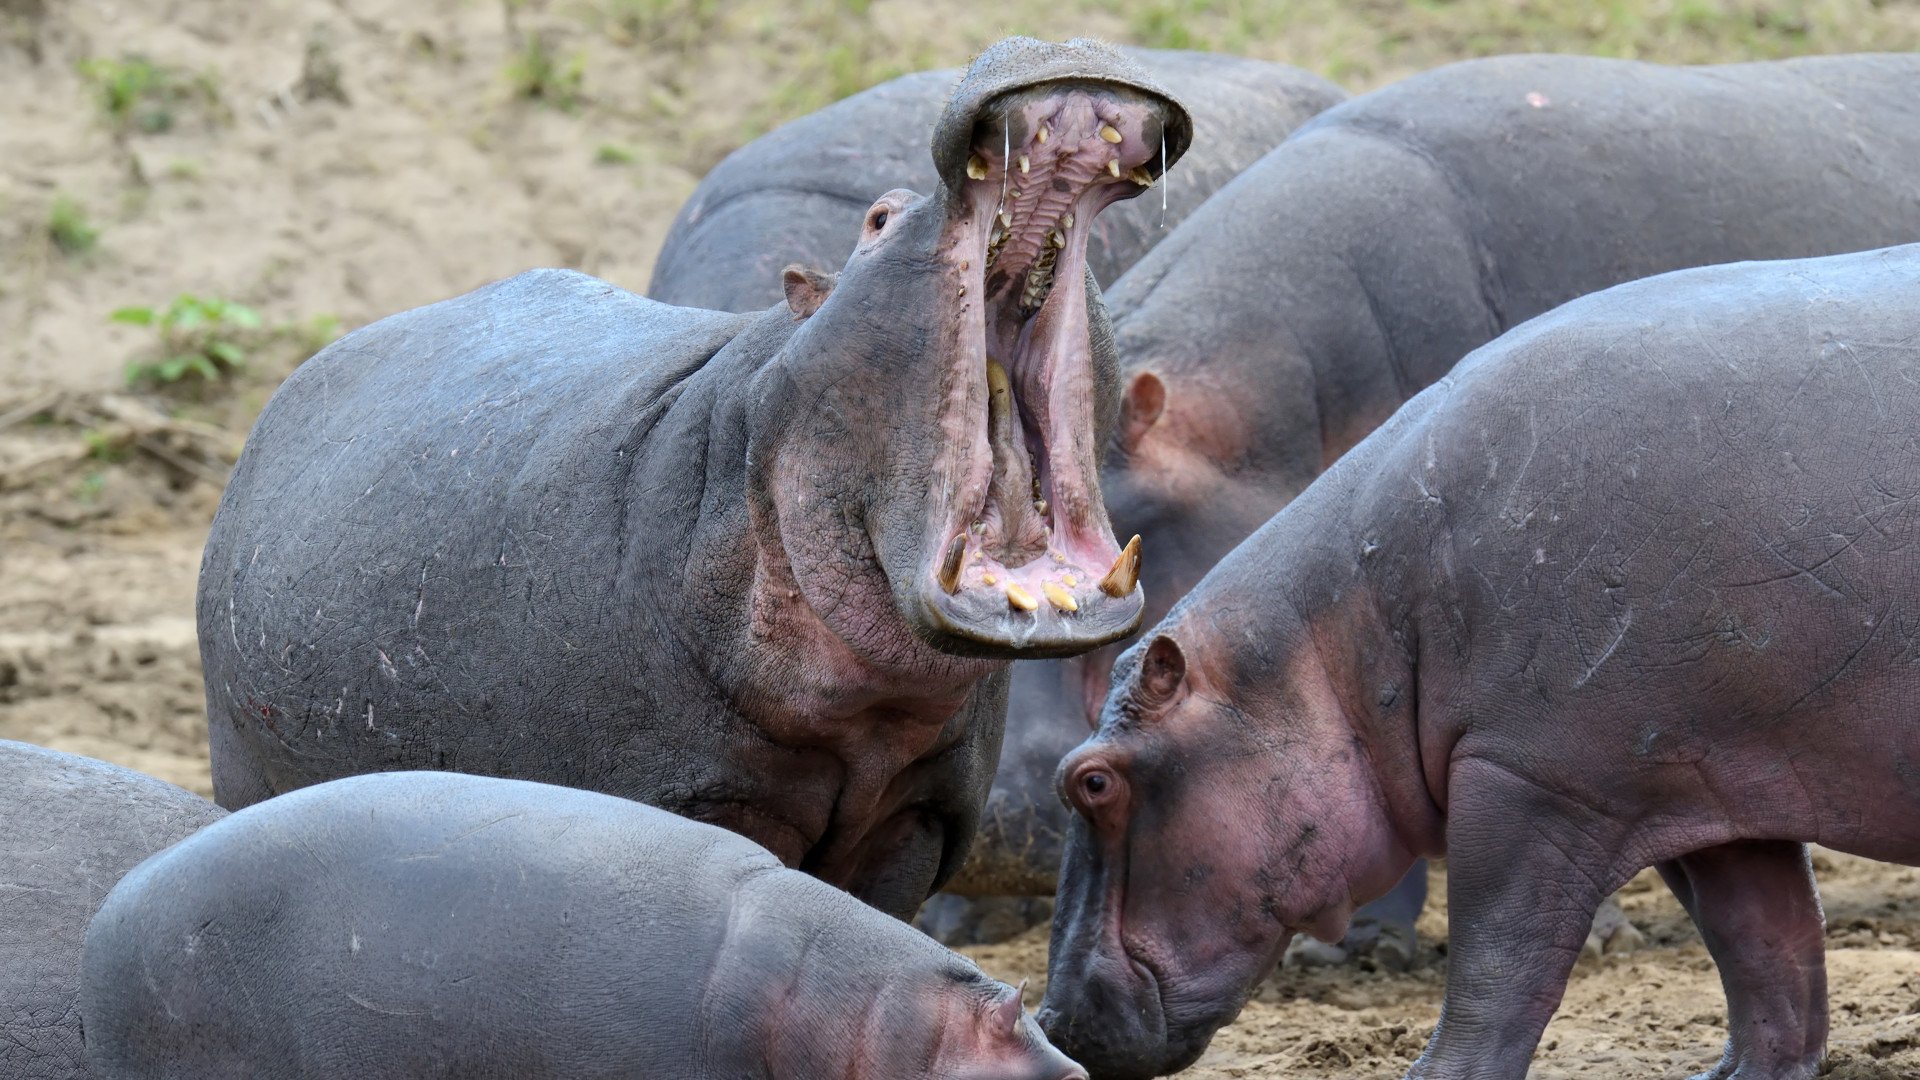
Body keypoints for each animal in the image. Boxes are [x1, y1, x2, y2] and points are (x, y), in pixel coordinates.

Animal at [1044, 242, 1920, 1076]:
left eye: (1091, 781)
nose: (1049, 1021)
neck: (1333, 637)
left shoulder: (1532, 776)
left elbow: (1501, 959)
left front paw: (1434, 1074)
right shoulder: (1700, 782)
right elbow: (1766, 946)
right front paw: (1735, 1075)